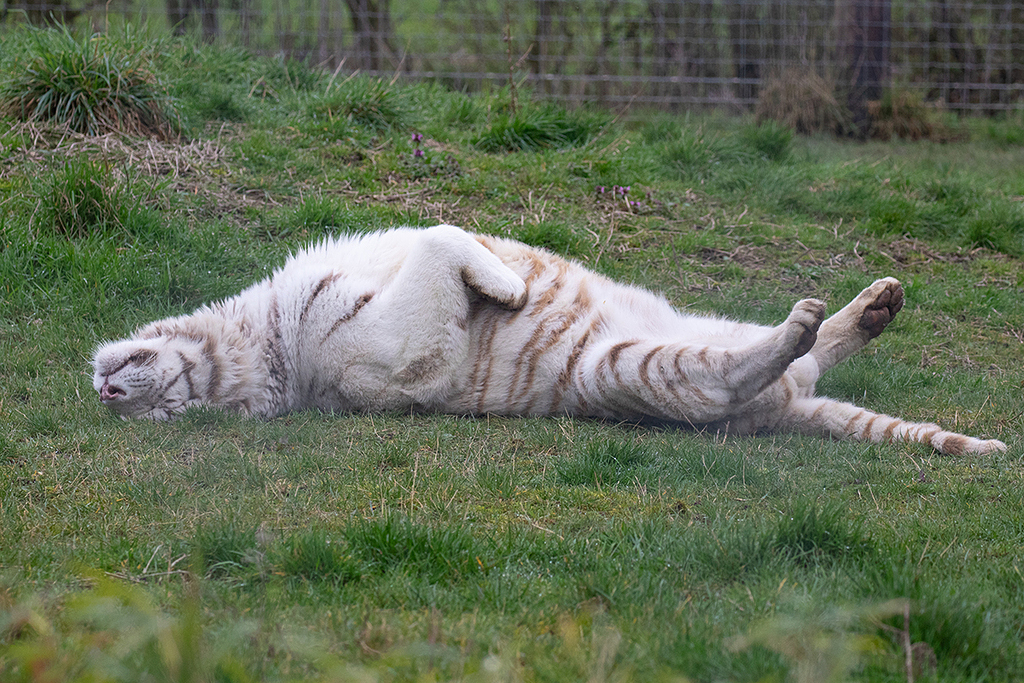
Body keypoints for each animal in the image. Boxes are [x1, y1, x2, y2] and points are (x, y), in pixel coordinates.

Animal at [92, 224, 1007, 455]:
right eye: (165, 409)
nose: (106, 393)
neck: (265, 338)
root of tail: (789, 409)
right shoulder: (400, 339)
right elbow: (442, 241)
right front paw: (509, 289)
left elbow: (440, 227)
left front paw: (509, 271)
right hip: (637, 368)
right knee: (740, 369)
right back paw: (803, 323)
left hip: (697, 319)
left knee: (815, 360)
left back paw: (875, 305)